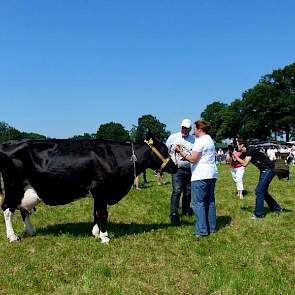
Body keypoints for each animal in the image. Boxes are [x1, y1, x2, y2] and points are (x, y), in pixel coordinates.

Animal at [0, 135, 178, 244]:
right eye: (164, 149)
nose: (175, 167)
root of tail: (8, 143)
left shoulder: (98, 192)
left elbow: (95, 212)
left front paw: (96, 232)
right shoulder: (101, 189)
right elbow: (103, 213)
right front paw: (105, 237)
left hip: (26, 189)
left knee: (23, 209)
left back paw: (30, 231)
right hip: (13, 185)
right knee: (7, 209)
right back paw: (12, 236)